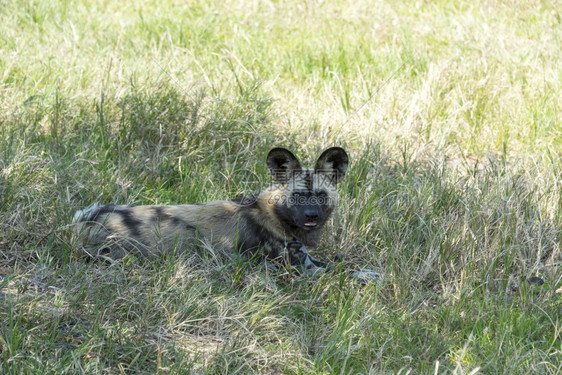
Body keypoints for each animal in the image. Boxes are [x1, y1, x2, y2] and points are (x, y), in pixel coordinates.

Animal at [72, 147, 380, 282]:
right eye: (297, 196)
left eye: (321, 195)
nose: (312, 216)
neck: (275, 214)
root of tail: (85, 220)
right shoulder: (302, 268)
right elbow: (343, 270)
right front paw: (371, 276)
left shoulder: (308, 258)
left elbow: (343, 261)